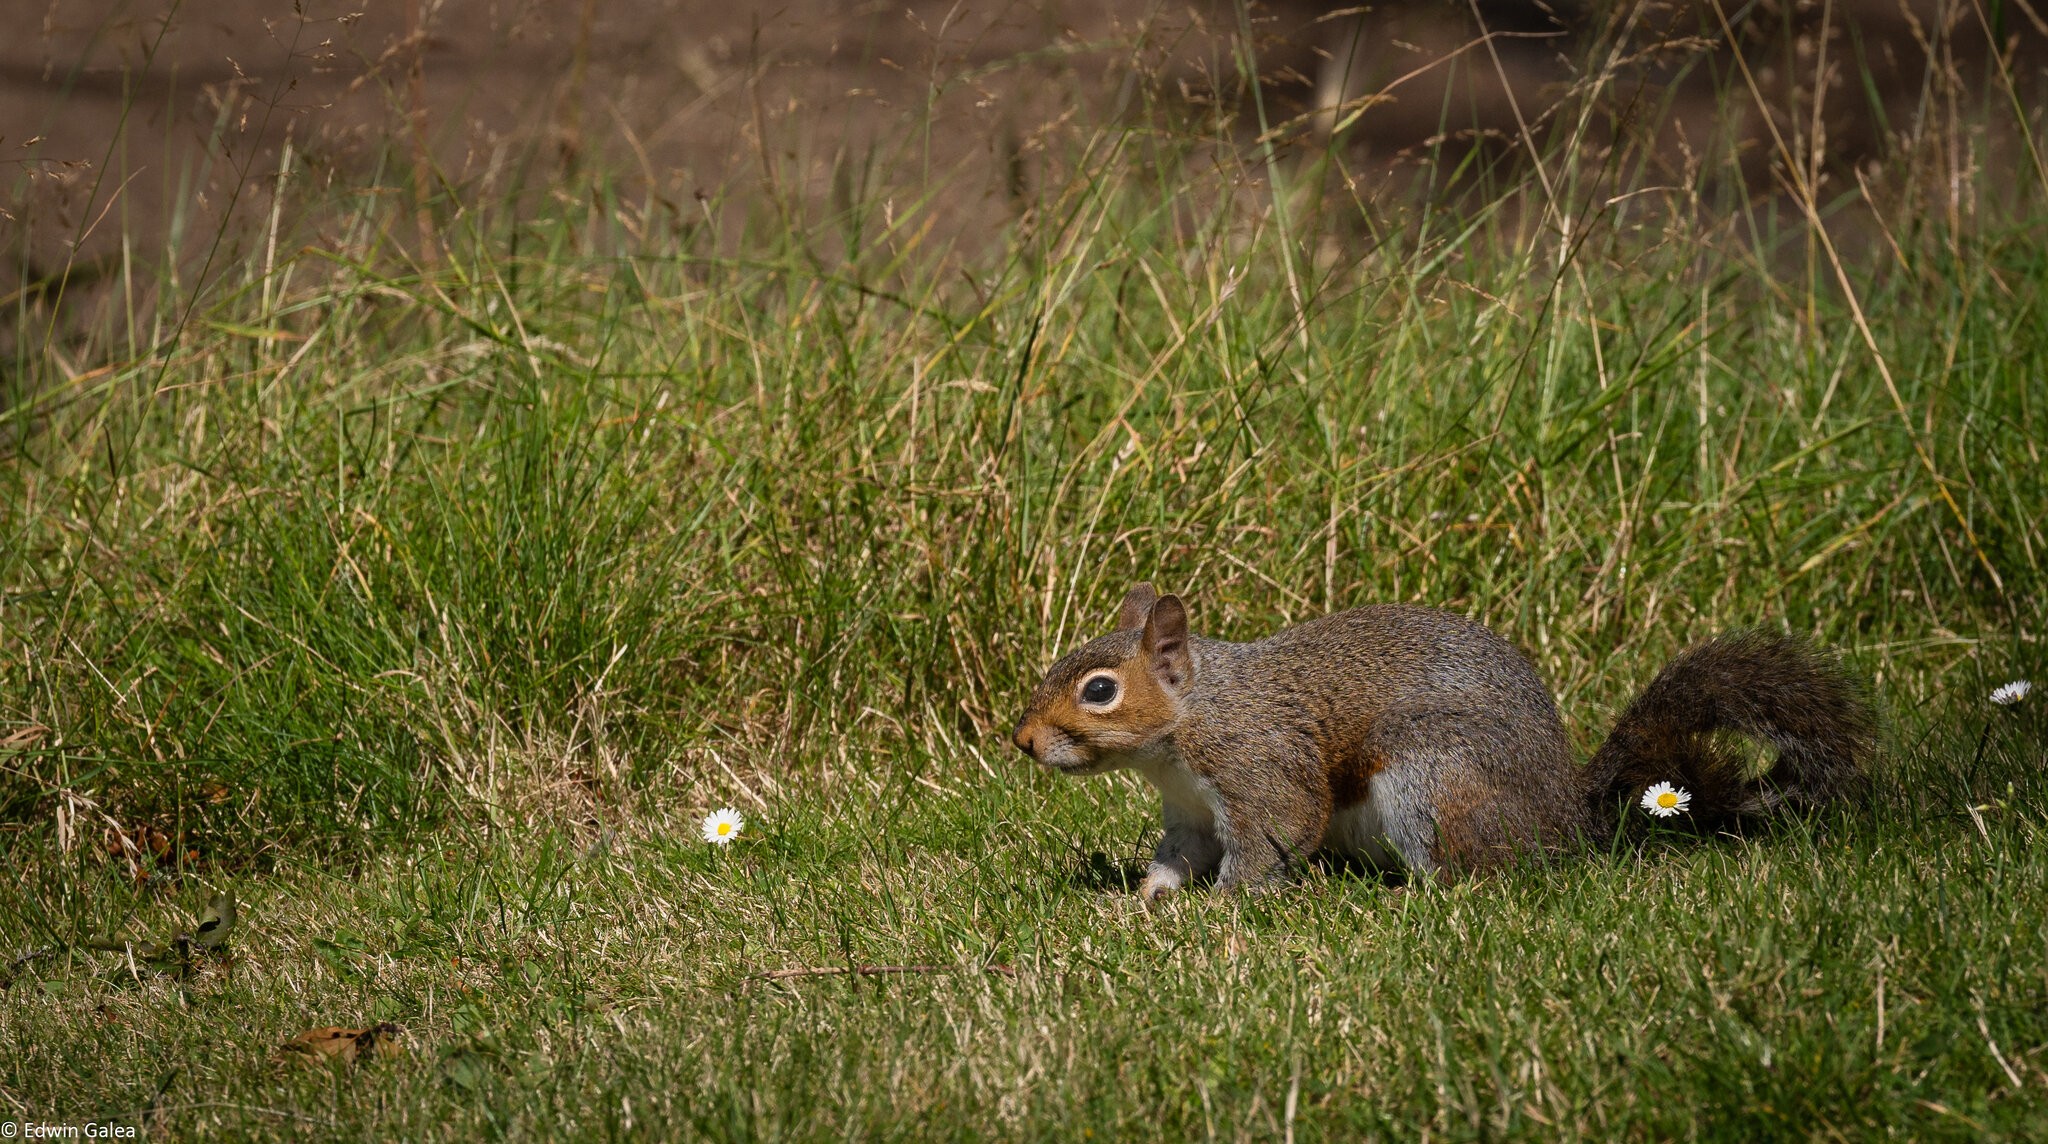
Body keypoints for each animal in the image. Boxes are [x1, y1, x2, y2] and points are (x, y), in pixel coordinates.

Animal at [1007, 585, 1875, 900]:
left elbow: (1278, 830)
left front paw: (1219, 912)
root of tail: (1564, 816)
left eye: (1099, 690)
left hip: (1434, 781)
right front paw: (1145, 900)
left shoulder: (1260, 762)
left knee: (1468, 878)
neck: (1189, 723)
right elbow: (1178, 855)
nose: (1022, 741)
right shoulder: (1189, 810)